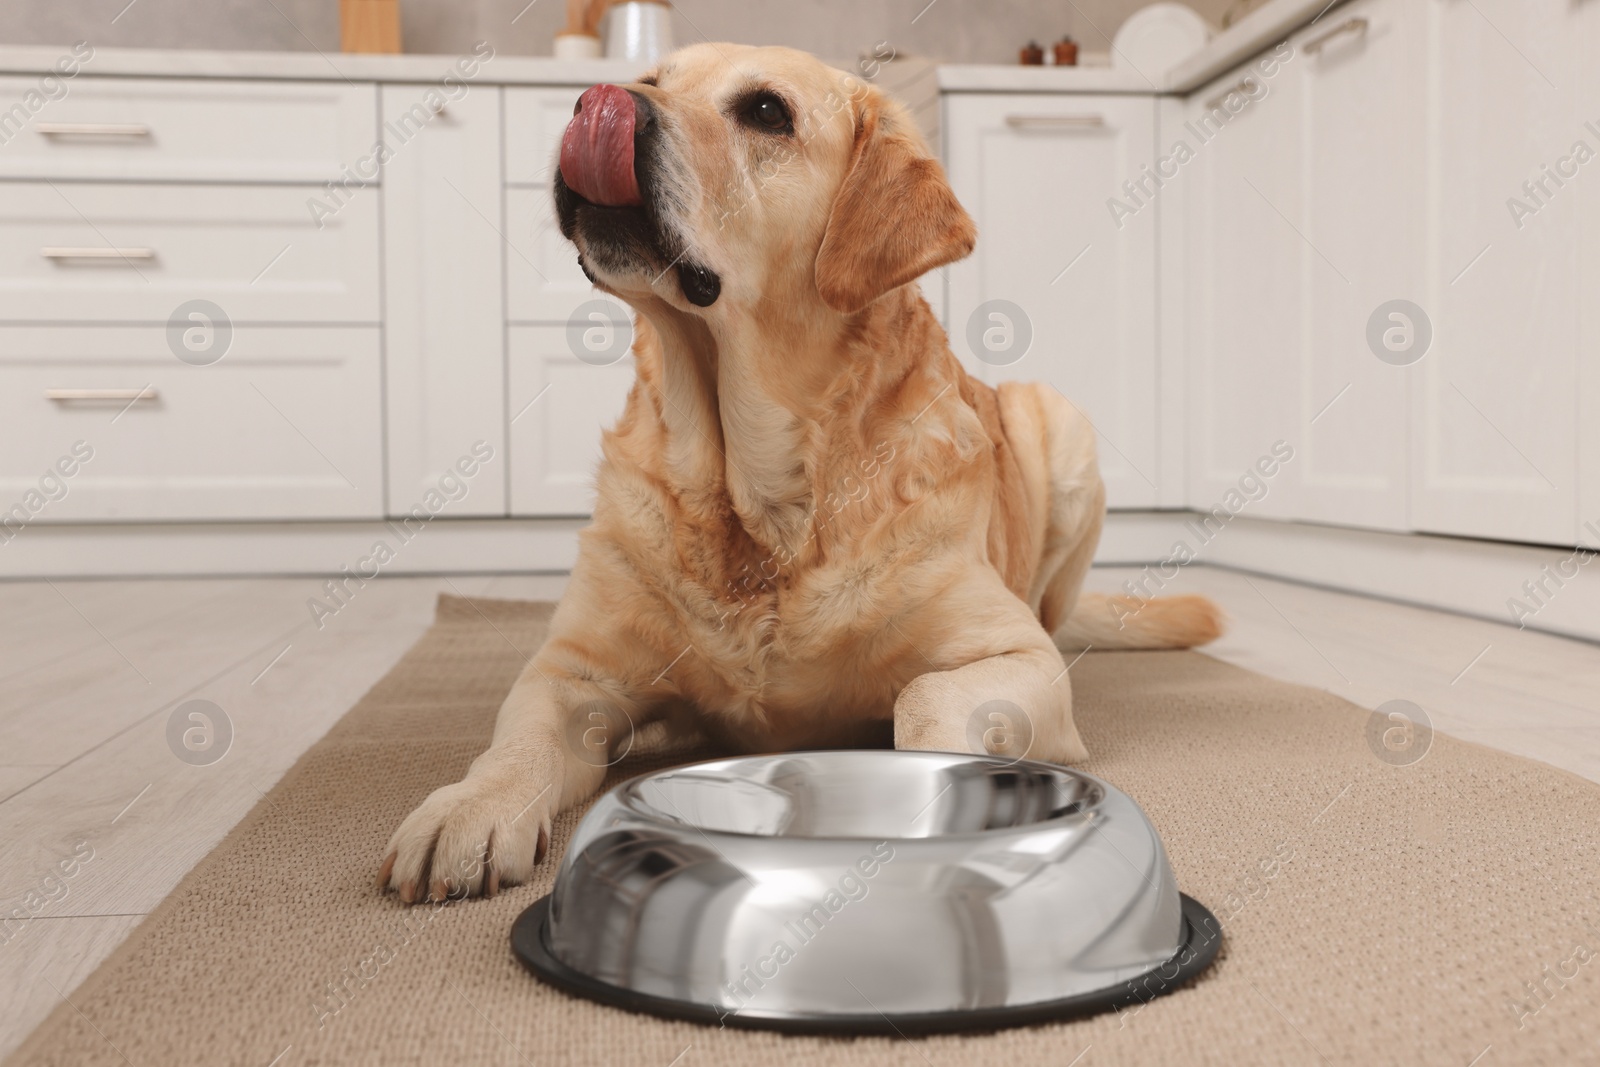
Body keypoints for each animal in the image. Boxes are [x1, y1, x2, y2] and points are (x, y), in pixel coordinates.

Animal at [377, 45, 1222, 908]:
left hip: (1056, 421)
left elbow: (924, 699)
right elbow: (519, 739)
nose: (598, 103)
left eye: (765, 112)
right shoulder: (573, 668)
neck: (759, 496)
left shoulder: (1018, 656)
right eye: (653, 77)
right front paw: (470, 808)